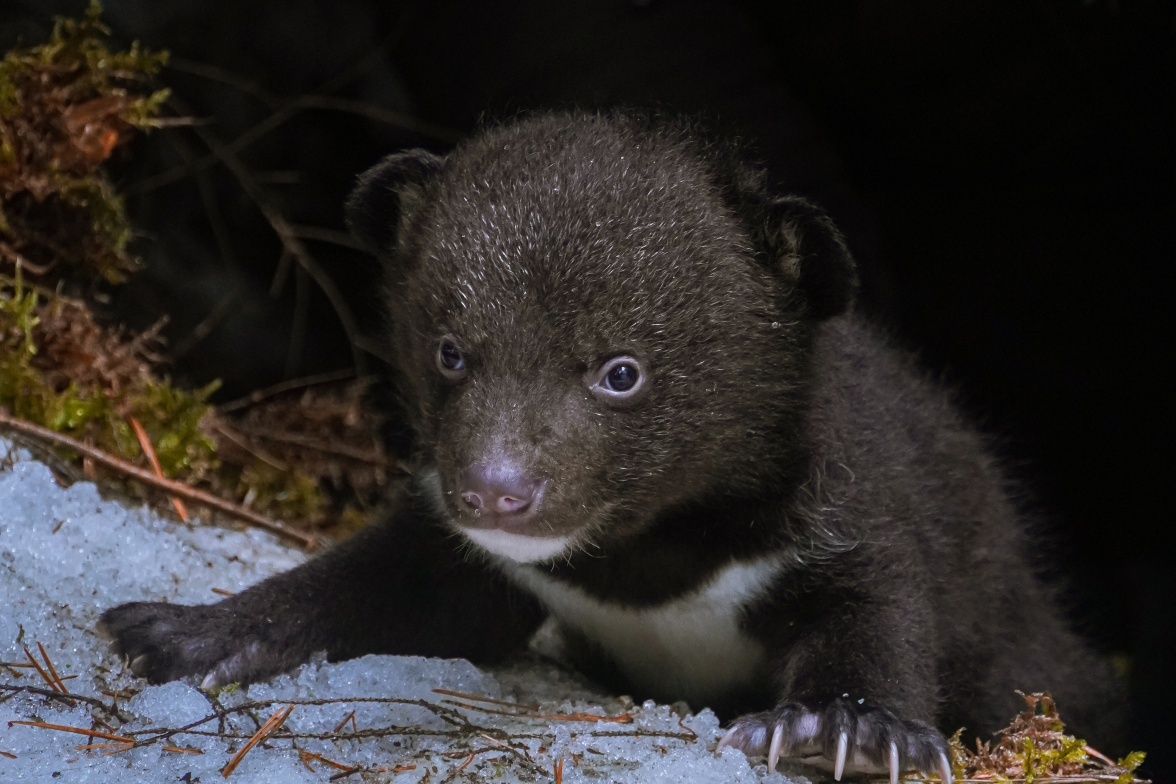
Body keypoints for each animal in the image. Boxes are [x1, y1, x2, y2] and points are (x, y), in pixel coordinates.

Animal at [99, 110, 1123, 782]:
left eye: (620, 372)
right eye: (451, 352)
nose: (494, 493)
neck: (646, 560)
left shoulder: (843, 501)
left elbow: (875, 604)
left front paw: (845, 732)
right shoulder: (472, 556)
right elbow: (392, 585)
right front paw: (176, 633)